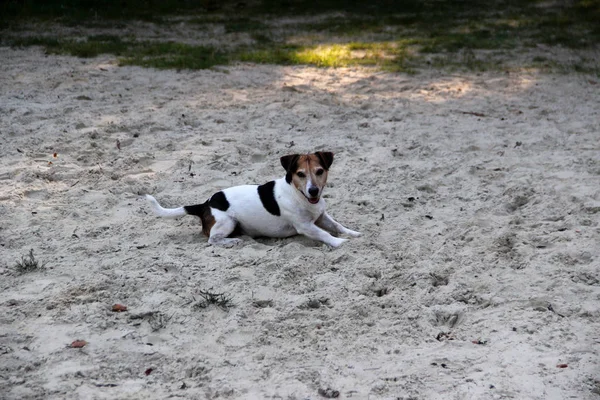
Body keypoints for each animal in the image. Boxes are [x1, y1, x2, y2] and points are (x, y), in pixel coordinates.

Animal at [145, 152, 360, 248]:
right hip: (227, 222)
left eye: (319, 171)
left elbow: (338, 225)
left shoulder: (321, 216)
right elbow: (324, 234)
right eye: (300, 174)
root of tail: (206, 204)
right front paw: (339, 242)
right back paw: (232, 242)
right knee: (213, 239)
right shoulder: (305, 226)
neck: (299, 195)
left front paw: (353, 233)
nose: (313, 190)